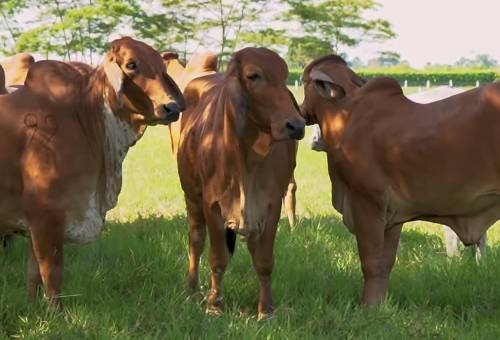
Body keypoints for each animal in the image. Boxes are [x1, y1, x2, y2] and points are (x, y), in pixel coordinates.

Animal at [0, 37, 185, 308]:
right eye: (131, 64)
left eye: (162, 67)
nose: (170, 107)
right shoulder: (47, 216)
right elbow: (51, 274)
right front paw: (57, 312)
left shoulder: (39, 223)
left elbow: (33, 275)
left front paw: (32, 306)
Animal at [178, 47, 306, 318]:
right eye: (253, 75)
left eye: (285, 75)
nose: (296, 125)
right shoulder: (212, 204)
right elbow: (217, 258)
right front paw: (214, 305)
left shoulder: (270, 205)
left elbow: (264, 261)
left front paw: (266, 310)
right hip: (191, 195)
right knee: (196, 240)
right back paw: (192, 288)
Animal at [298, 53, 500, 306]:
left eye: (304, 82)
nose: (300, 111)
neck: (346, 114)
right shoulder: (393, 215)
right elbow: (386, 262)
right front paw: (381, 304)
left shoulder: (367, 203)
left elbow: (371, 261)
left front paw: (368, 306)